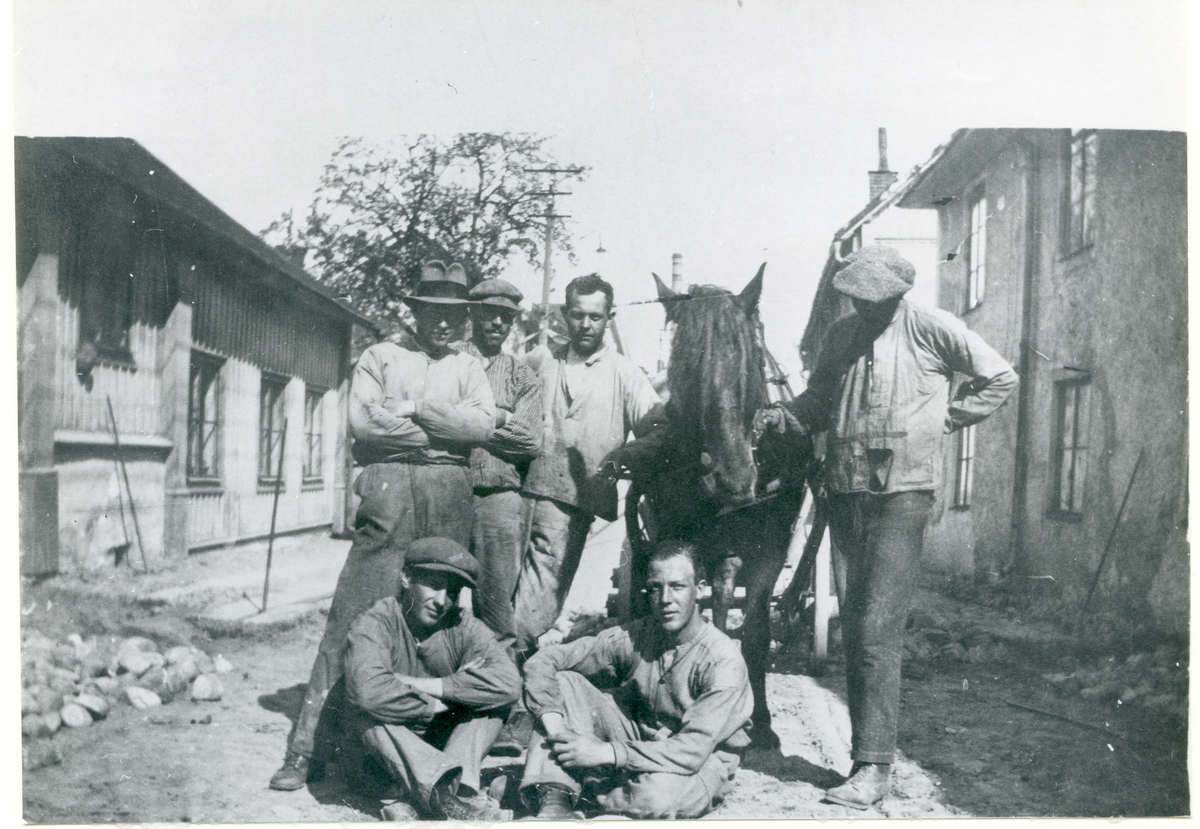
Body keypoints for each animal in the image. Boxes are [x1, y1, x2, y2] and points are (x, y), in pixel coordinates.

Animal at [612, 264, 814, 749]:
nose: (733, 478)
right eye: (685, 366)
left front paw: (761, 721)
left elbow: (754, 630)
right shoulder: (681, 543)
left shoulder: (768, 549)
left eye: (754, 355)